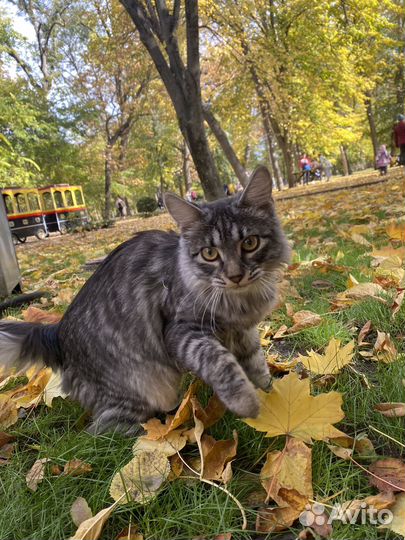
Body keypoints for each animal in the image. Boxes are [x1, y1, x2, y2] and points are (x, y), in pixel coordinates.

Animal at [0, 167, 290, 432]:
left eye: (250, 243)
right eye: (209, 253)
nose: (235, 276)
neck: (239, 300)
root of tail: (57, 332)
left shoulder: (244, 332)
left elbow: (256, 365)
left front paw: (271, 398)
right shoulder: (182, 331)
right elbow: (220, 362)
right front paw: (247, 403)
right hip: (142, 388)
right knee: (103, 433)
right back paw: (164, 432)